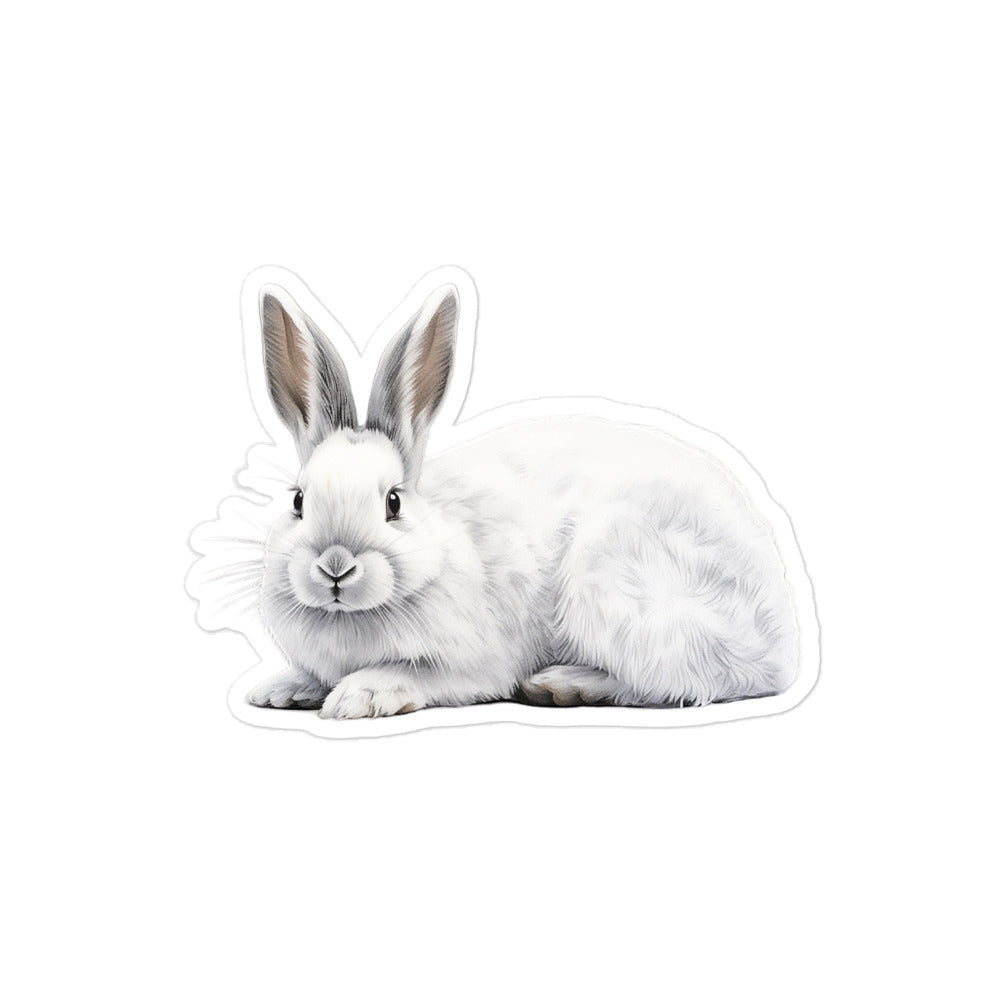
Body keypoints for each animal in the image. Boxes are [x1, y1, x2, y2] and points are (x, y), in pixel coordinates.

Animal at [247, 281, 799, 719]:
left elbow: (421, 675)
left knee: (681, 681)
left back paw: (565, 684)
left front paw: (359, 695)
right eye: (299, 501)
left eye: (393, 503)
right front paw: (282, 690)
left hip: (620, 590)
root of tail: (782, 645)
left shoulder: (477, 664)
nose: (335, 565)